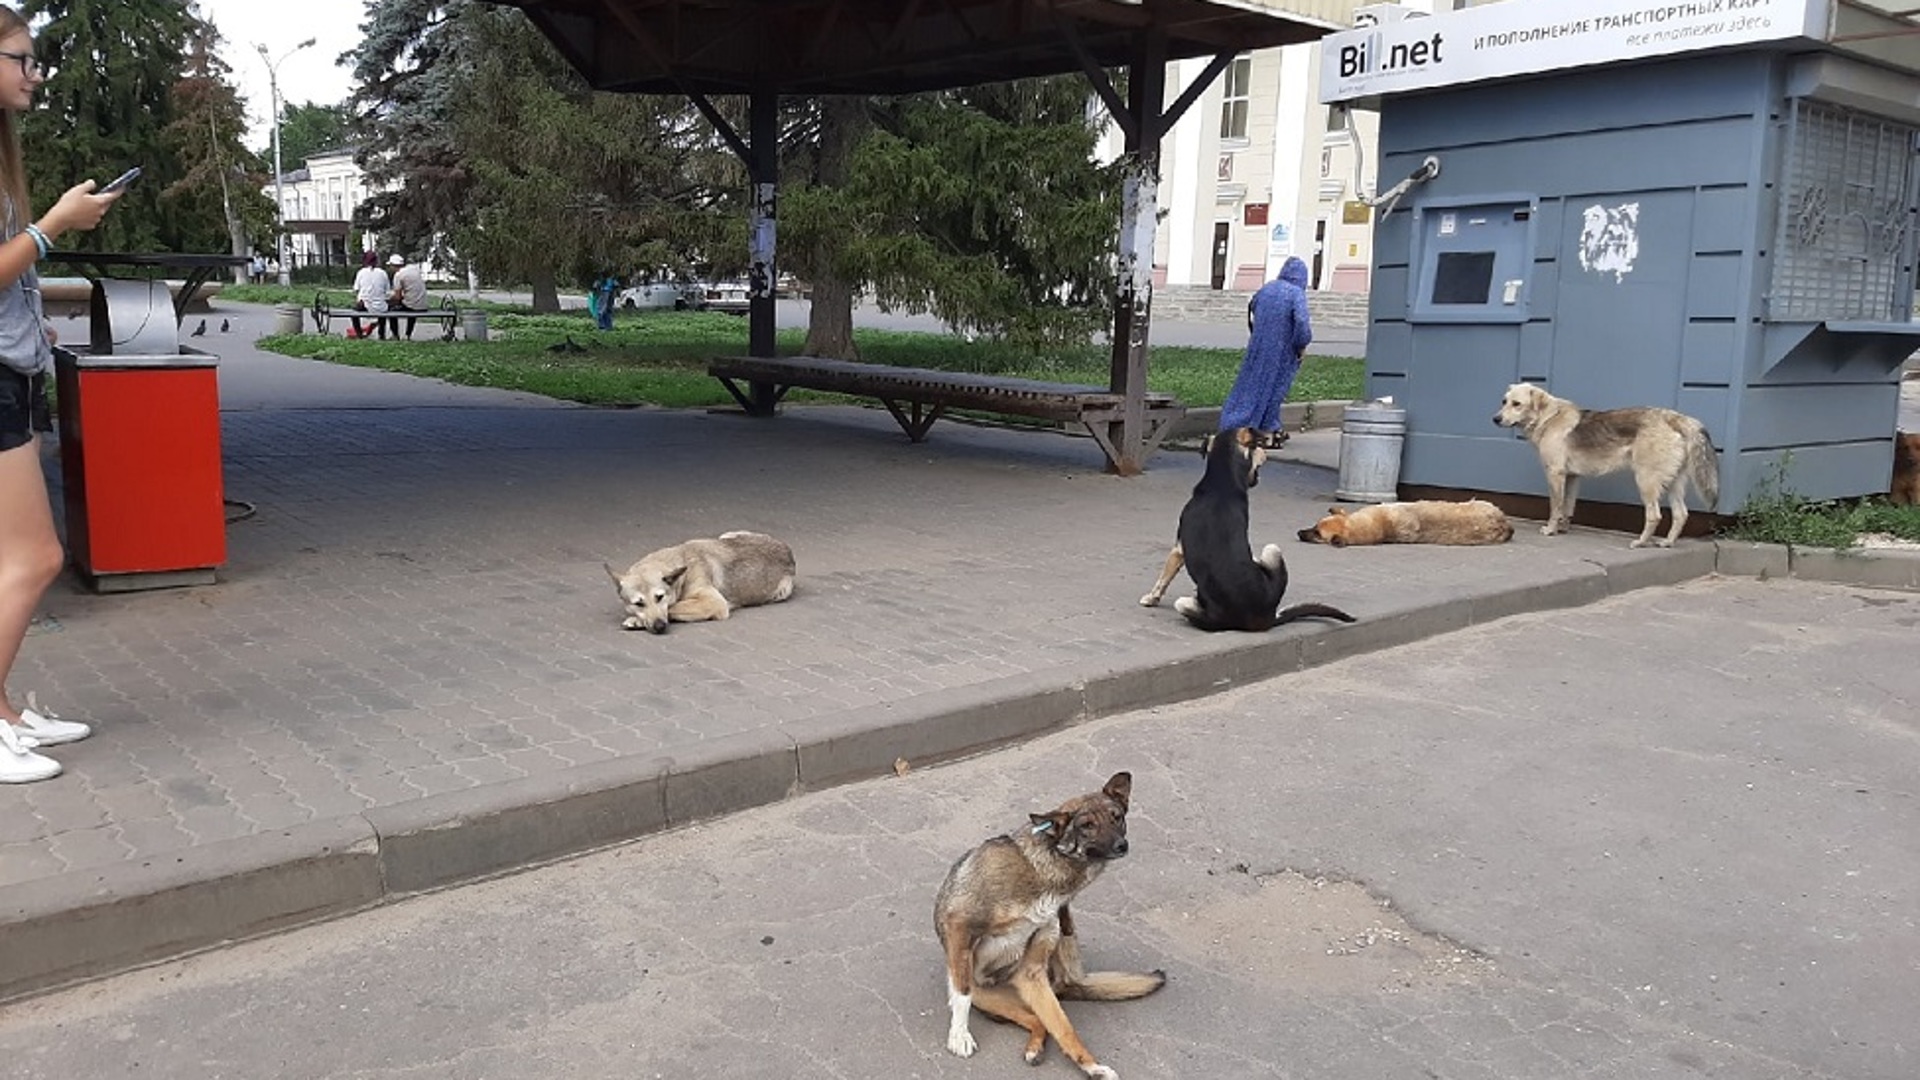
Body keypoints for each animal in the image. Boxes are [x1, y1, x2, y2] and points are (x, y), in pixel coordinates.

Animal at [602, 530, 791, 630]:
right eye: (638, 603)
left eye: (660, 597)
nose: (660, 626)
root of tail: (786, 547)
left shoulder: (714, 602)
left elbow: (673, 607)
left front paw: (638, 620)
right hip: (726, 535)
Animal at [1136, 424, 1351, 630]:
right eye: (1258, 447)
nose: (1265, 450)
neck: (1222, 483)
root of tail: (1267, 617)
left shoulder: (1178, 549)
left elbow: (1164, 578)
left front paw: (1151, 598)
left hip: (1266, 551)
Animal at [1489, 380, 1720, 545]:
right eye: (1503, 401)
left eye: (1517, 404)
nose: (1495, 419)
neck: (1548, 417)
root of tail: (1675, 417)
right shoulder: (1572, 477)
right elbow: (1568, 507)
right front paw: (1563, 529)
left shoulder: (1555, 474)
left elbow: (1556, 506)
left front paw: (1551, 530)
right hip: (1673, 483)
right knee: (1681, 514)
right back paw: (1667, 543)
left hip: (1646, 481)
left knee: (1654, 515)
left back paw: (1640, 542)